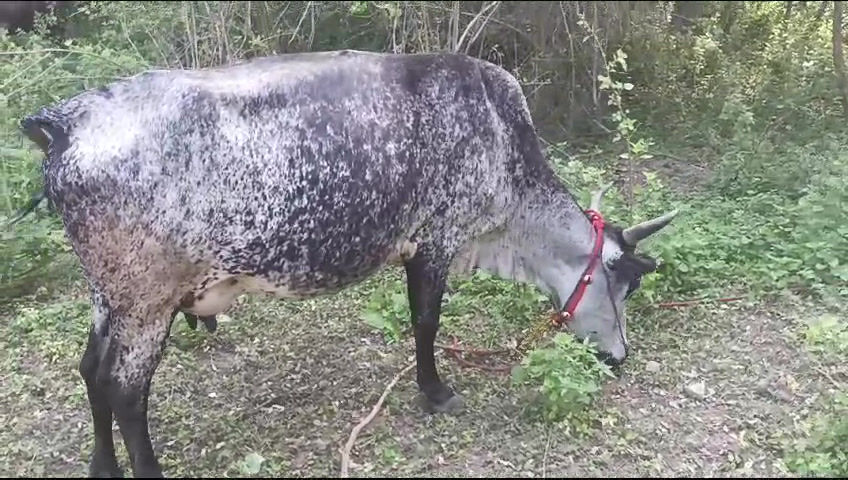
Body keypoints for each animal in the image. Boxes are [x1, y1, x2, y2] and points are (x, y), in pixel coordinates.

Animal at [20, 49, 677, 477]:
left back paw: (103, 466)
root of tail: (63, 127)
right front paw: (436, 393)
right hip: (146, 300)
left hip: (108, 297)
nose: (619, 356)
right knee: (124, 390)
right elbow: (425, 324)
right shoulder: (435, 240)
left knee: (89, 370)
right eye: (625, 282)